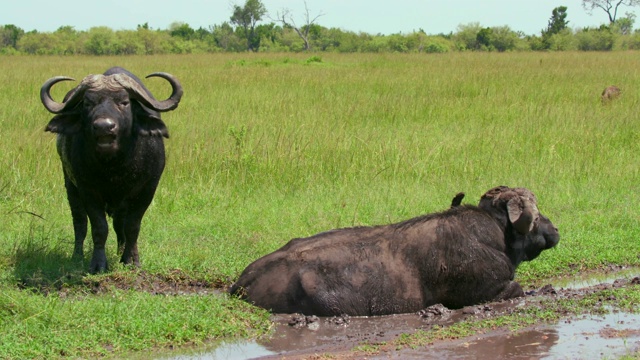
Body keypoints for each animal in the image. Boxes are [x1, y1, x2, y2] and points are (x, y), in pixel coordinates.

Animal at [40, 67, 182, 272]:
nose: (104, 127)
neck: (115, 167)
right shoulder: (87, 190)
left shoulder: (148, 189)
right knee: (79, 222)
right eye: (88, 103)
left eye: (124, 102)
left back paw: (121, 252)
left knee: (119, 224)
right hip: (70, 185)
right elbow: (99, 227)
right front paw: (98, 263)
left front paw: (131, 260)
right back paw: (77, 255)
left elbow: (132, 226)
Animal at [230, 187, 560, 316]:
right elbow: (520, 288)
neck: (496, 236)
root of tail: (242, 281)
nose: (555, 230)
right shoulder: (490, 291)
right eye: (536, 214)